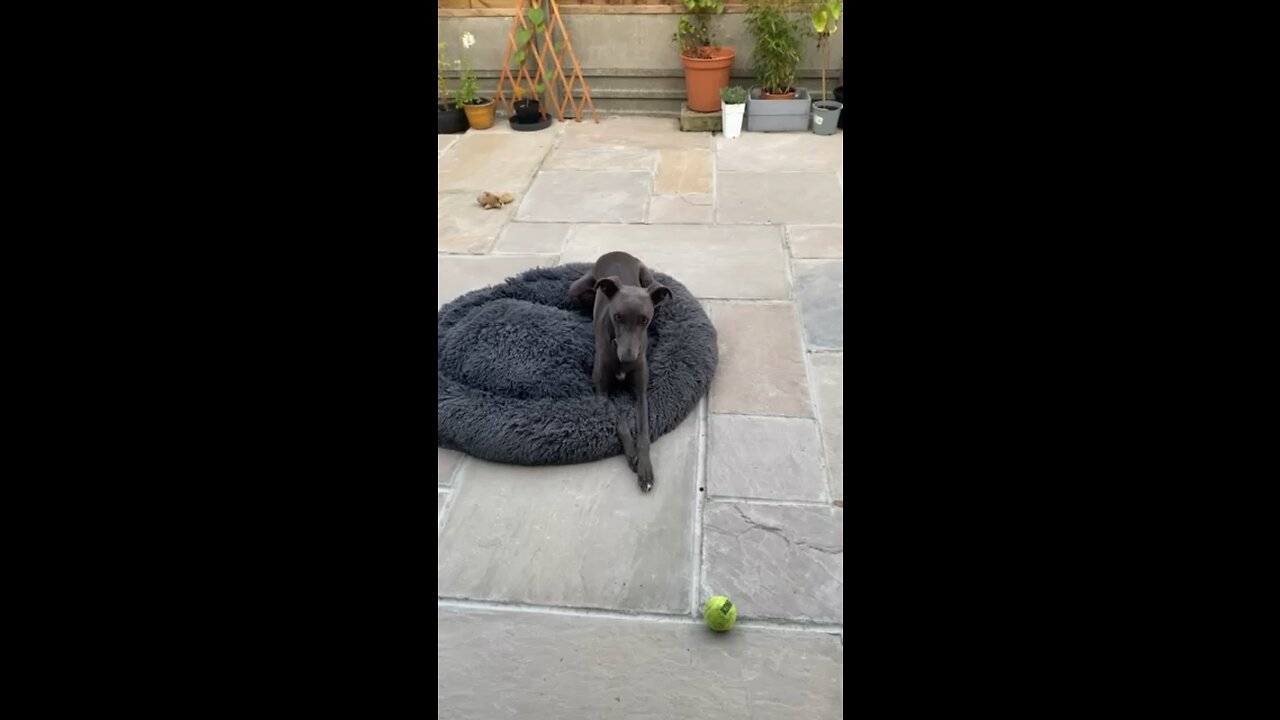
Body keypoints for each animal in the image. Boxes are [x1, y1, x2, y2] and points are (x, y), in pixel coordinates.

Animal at [569, 252, 671, 492]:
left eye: (644, 320)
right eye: (617, 317)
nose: (628, 358)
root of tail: (615, 252)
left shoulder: (641, 393)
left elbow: (644, 433)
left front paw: (645, 469)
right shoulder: (602, 393)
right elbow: (622, 421)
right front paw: (632, 455)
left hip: (649, 279)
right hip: (575, 289)